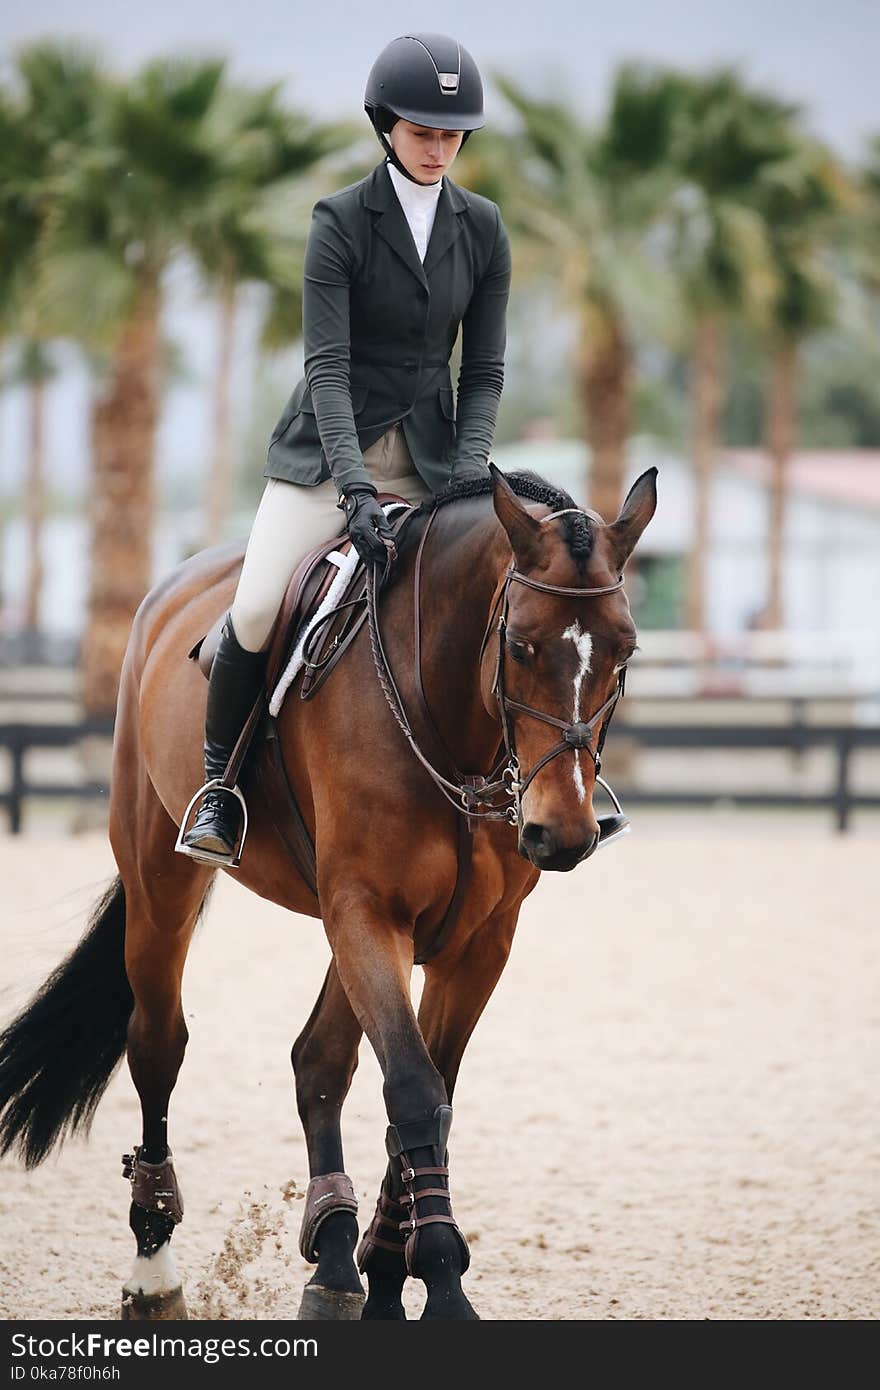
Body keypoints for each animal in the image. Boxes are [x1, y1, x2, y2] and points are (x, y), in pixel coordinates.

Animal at [0, 464, 653, 1312]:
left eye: (626, 651)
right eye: (520, 645)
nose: (563, 834)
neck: (448, 718)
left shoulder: (475, 939)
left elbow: (430, 1095)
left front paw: (390, 1269)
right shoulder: (366, 910)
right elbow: (412, 1086)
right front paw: (439, 1279)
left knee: (318, 1060)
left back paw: (339, 1258)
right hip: (164, 884)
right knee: (159, 1044)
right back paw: (154, 1268)